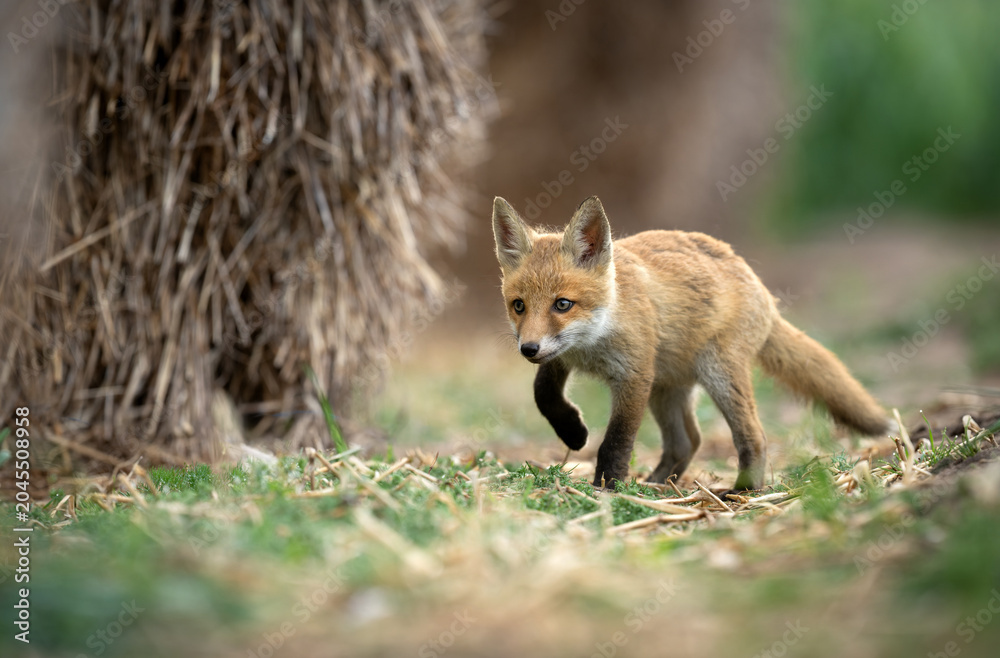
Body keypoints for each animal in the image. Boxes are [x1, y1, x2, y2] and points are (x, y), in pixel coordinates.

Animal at [491, 195, 893, 492]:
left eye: (562, 304)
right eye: (518, 306)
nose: (528, 349)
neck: (594, 342)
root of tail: (761, 289)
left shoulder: (634, 375)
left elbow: (617, 439)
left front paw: (607, 486)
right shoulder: (562, 357)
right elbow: (543, 394)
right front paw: (573, 431)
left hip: (716, 375)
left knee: (755, 436)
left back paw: (743, 489)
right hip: (666, 390)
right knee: (688, 441)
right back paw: (657, 484)